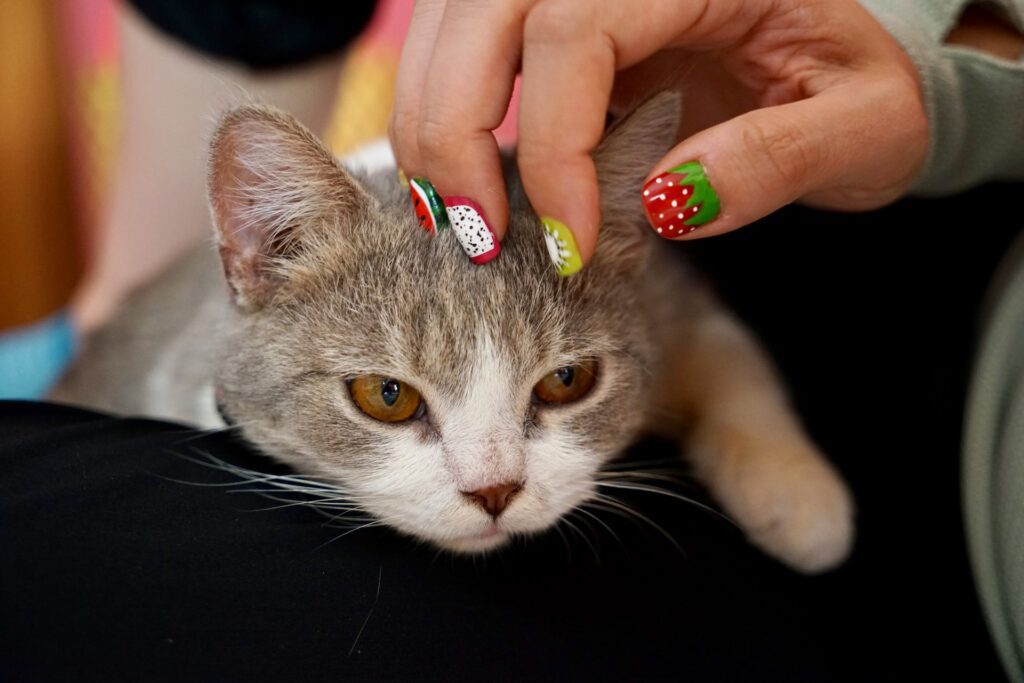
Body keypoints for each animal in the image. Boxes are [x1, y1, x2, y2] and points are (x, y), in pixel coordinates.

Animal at [54, 90, 856, 573]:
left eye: (567, 380)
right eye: (386, 395)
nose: (495, 490)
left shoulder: (668, 292)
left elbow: (729, 353)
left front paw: (801, 498)